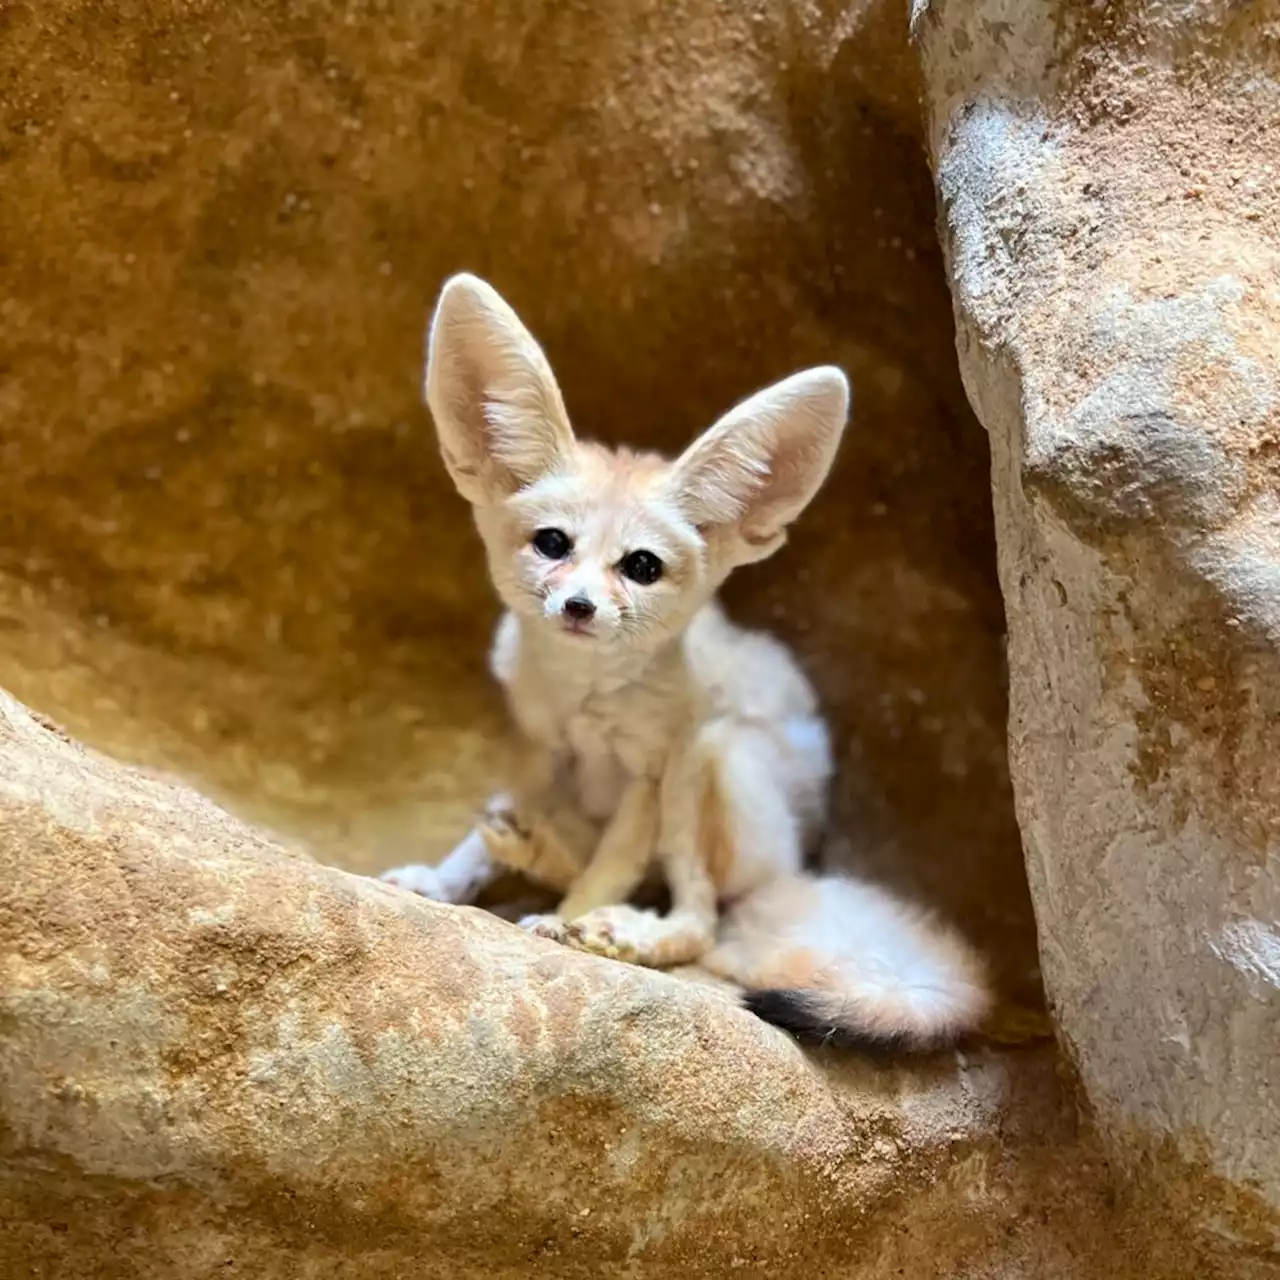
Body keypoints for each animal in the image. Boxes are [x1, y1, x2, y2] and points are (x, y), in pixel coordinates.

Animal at [378, 275, 988, 1044]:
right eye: (552, 544)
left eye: (641, 566)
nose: (579, 607)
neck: (582, 698)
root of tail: (794, 868)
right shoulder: (538, 746)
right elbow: (483, 841)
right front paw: (443, 879)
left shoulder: (649, 775)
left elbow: (610, 869)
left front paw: (568, 923)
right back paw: (537, 851)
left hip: (711, 756)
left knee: (699, 923)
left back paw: (624, 931)